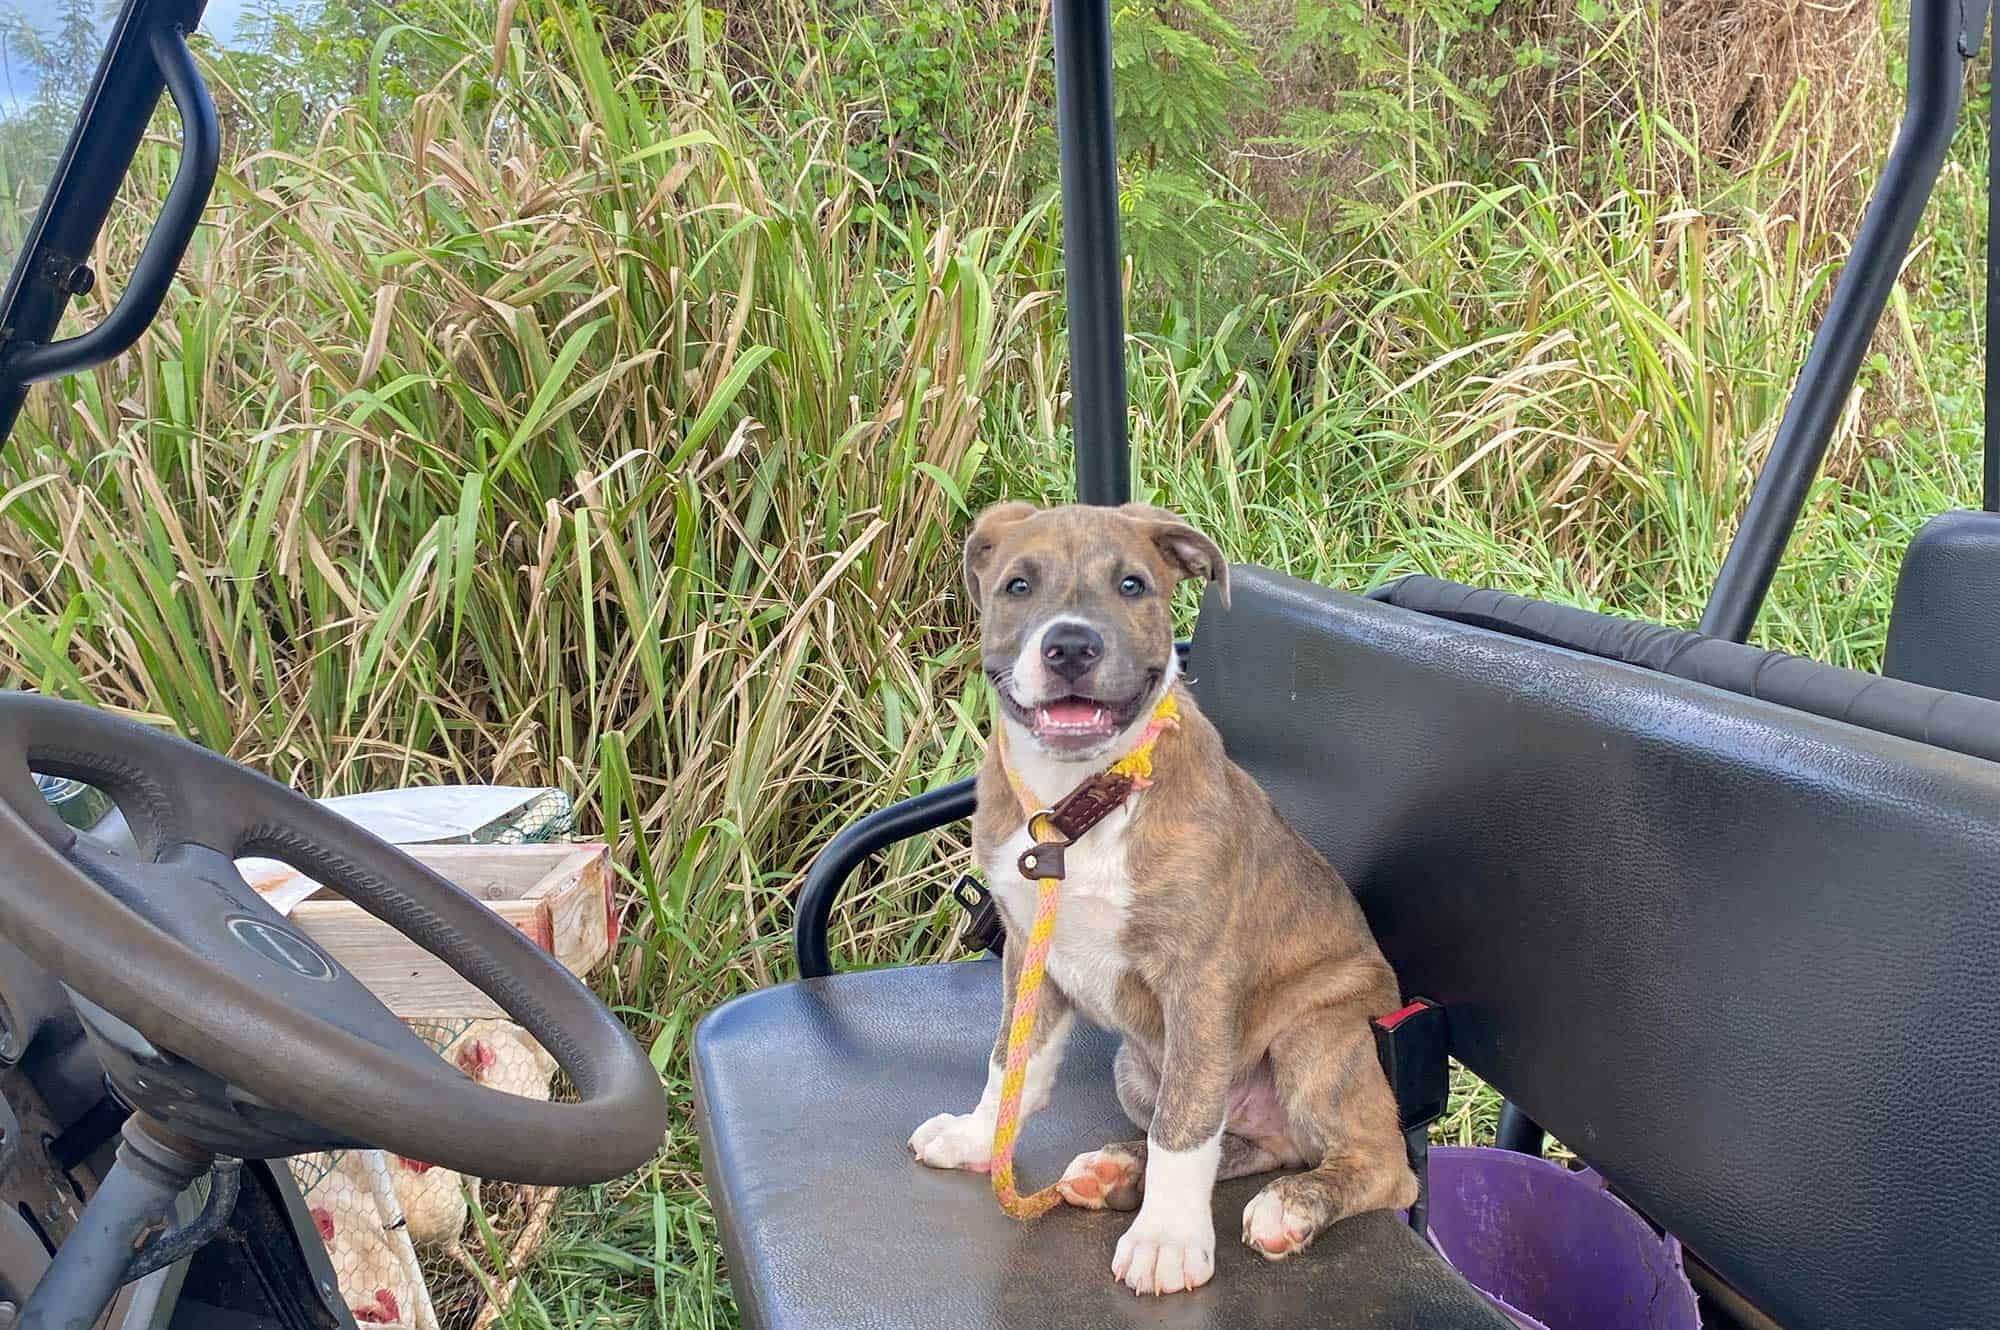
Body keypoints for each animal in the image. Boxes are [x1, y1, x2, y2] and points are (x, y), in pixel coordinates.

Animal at [912, 504, 1424, 1288]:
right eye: (1017, 586)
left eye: (1133, 585)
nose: (1070, 647)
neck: (1079, 802)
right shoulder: (1028, 954)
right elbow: (1011, 1063)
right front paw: (976, 1138)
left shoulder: (1200, 980)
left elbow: (1183, 1126)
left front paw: (1168, 1241)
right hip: (1134, 1068)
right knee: (1244, 1141)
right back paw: (1119, 1172)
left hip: (1317, 1037)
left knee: (1379, 1165)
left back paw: (1290, 1206)